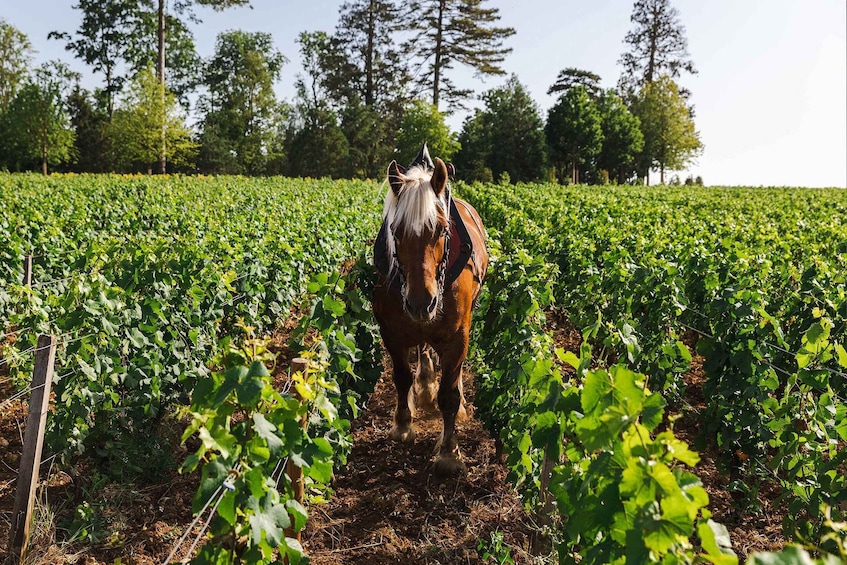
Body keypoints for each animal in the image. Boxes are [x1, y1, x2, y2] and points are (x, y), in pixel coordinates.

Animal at [372, 143, 486, 474]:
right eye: (395, 230)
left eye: (442, 229)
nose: (422, 302)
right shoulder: (390, 330)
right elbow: (401, 376)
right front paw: (402, 425)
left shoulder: (458, 335)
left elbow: (449, 393)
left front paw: (448, 451)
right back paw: (424, 385)